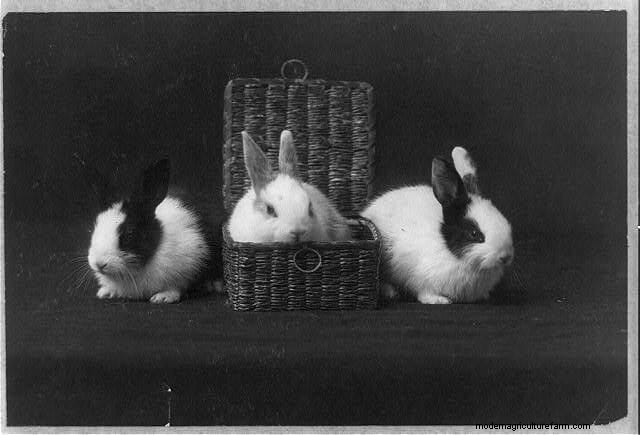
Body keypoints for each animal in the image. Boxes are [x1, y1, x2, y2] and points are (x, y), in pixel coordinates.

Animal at [87, 158, 221, 303]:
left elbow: (176, 287)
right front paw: (105, 292)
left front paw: (163, 297)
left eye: (130, 234)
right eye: (95, 227)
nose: (99, 263)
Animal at [361, 147, 513, 304]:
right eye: (474, 233)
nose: (506, 257)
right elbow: (425, 292)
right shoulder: (422, 277)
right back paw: (391, 292)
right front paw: (440, 300)